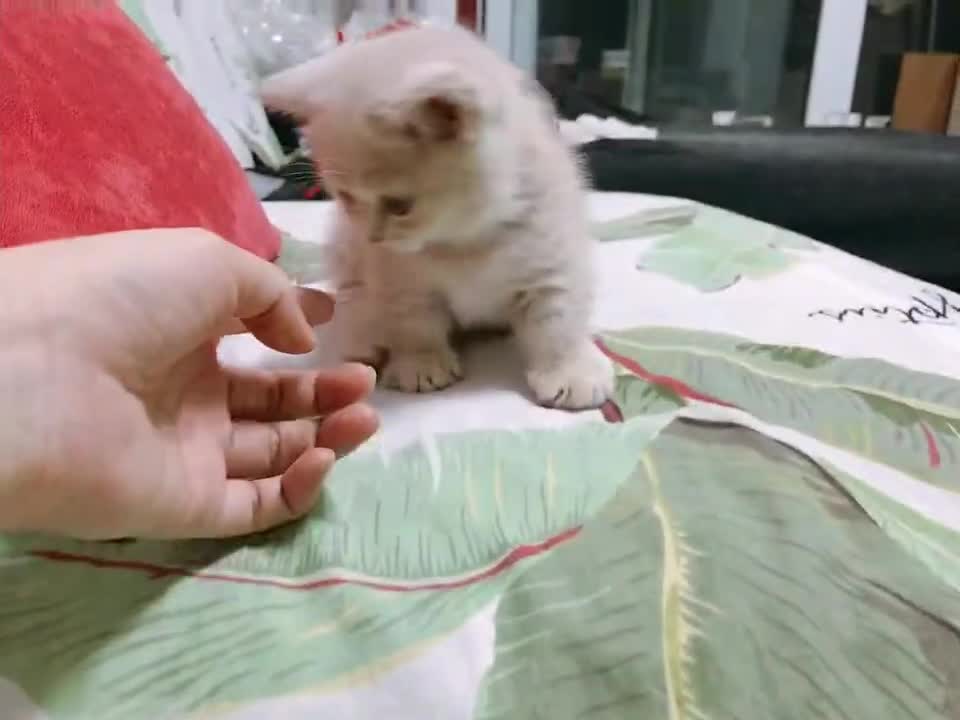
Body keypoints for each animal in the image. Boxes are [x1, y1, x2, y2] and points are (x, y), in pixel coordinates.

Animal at [260, 26, 616, 410]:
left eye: (400, 206)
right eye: (346, 197)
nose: (374, 238)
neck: (464, 241)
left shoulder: (553, 255)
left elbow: (559, 319)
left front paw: (571, 370)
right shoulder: (398, 276)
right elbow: (413, 321)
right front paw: (421, 363)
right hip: (346, 250)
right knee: (354, 299)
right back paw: (367, 337)